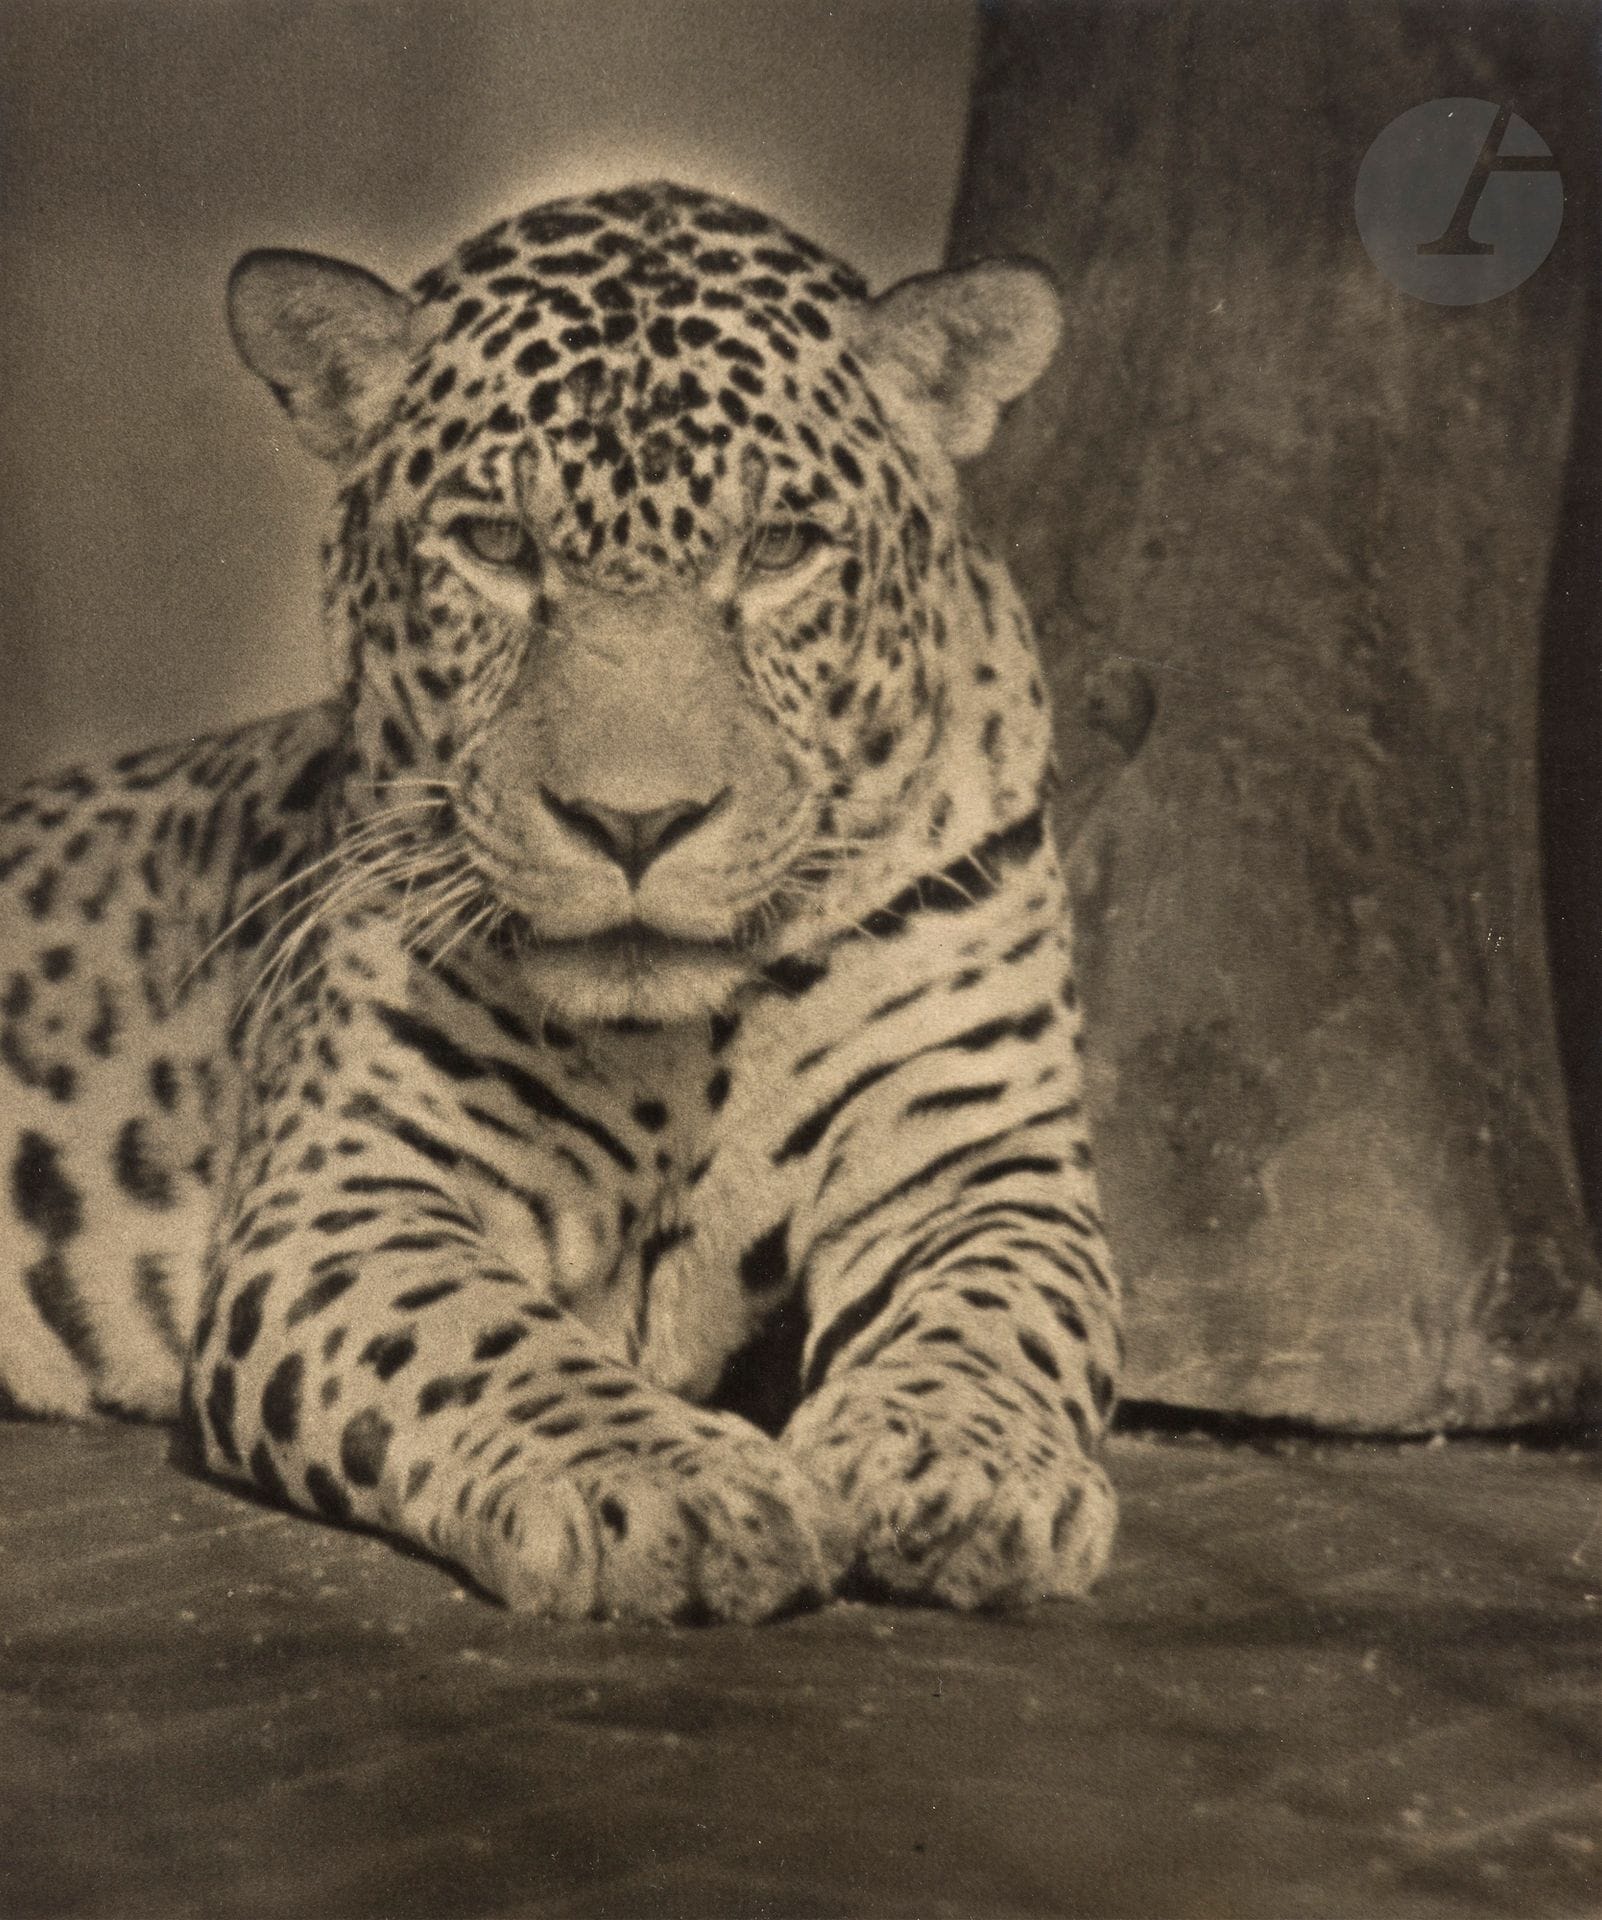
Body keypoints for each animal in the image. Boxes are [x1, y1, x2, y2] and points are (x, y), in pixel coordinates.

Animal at [0, 181, 1121, 1622]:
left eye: (779, 549)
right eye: (494, 544)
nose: (632, 822)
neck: (693, 1038)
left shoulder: (981, 1154)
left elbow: (1003, 1312)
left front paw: (960, 1465)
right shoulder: (352, 1191)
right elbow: (491, 1343)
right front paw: (672, 1488)